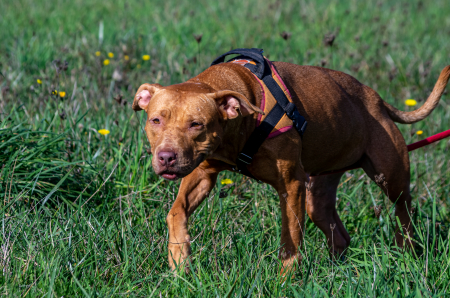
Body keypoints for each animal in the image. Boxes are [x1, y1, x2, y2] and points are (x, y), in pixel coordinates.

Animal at [133, 59, 450, 272]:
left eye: (196, 124)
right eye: (155, 120)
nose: (166, 157)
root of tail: (378, 100)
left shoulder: (291, 186)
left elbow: (290, 240)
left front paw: (285, 281)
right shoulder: (201, 173)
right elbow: (176, 212)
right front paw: (179, 257)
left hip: (390, 176)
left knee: (404, 212)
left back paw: (408, 254)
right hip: (318, 193)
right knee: (339, 234)